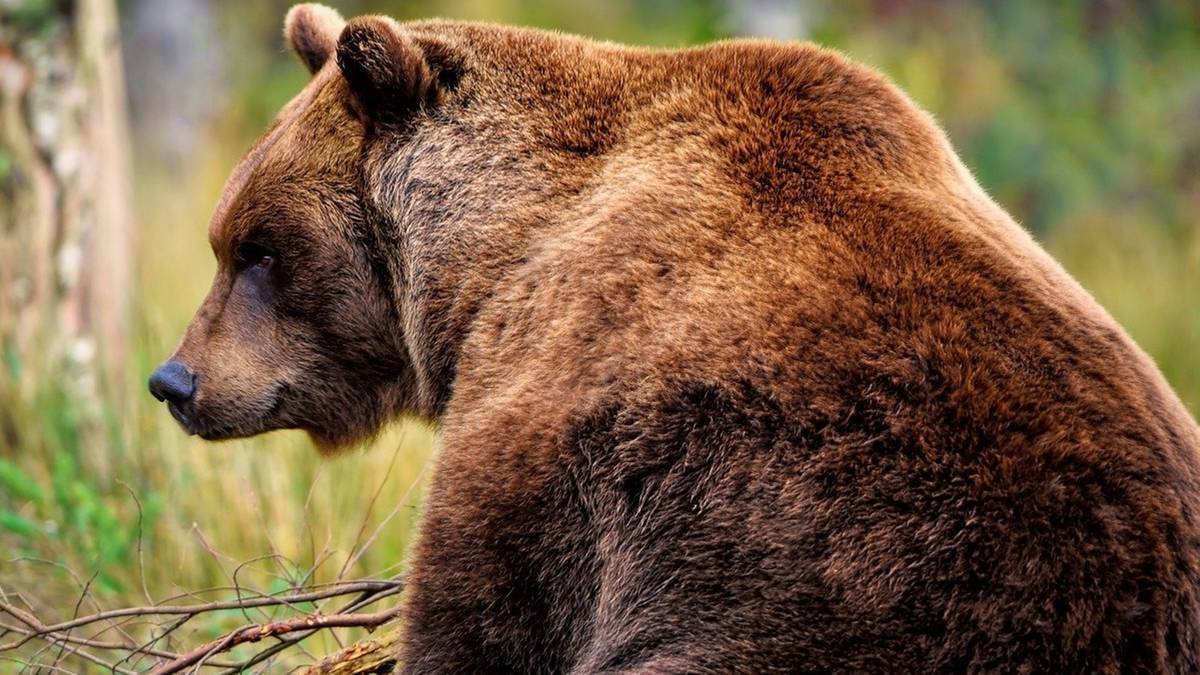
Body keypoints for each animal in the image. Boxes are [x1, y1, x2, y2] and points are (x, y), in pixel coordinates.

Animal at [147, 5, 1200, 672]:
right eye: (227, 238)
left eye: (257, 249)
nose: (175, 379)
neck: (492, 258)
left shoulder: (571, 432)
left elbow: (484, 613)